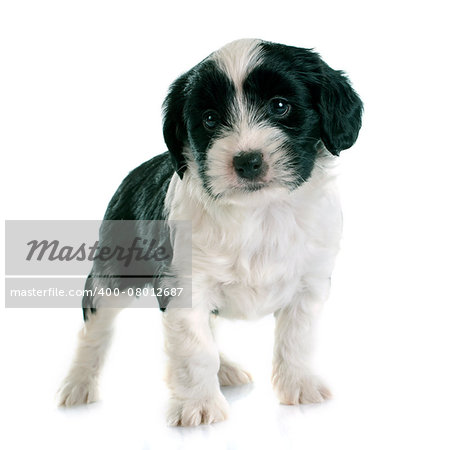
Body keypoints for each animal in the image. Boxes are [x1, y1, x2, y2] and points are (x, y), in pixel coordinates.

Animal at [59, 37, 362, 426]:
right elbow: (194, 347)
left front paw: (299, 385)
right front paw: (198, 404)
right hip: (111, 276)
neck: (259, 211)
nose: (248, 161)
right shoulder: (184, 284)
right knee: (96, 326)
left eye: (280, 106)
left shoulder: (309, 282)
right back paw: (79, 383)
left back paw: (225, 370)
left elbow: (297, 338)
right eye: (210, 119)